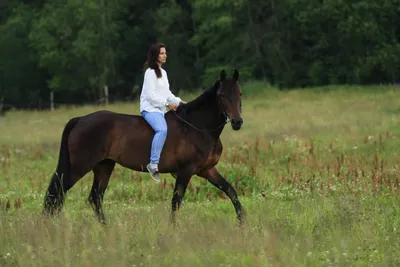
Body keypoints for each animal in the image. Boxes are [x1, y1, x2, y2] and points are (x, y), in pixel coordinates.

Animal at [43, 69, 244, 226]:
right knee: (57, 193)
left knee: (94, 198)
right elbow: (176, 201)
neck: (197, 127)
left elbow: (231, 191)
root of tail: (80, 119)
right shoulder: (185, 171)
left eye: (240, 94)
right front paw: (173, 230)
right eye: (222, 95)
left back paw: (106, 229)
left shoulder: (207, 170)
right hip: (79, 167)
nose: (237, 122)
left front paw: (243, 223)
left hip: (104, 166)